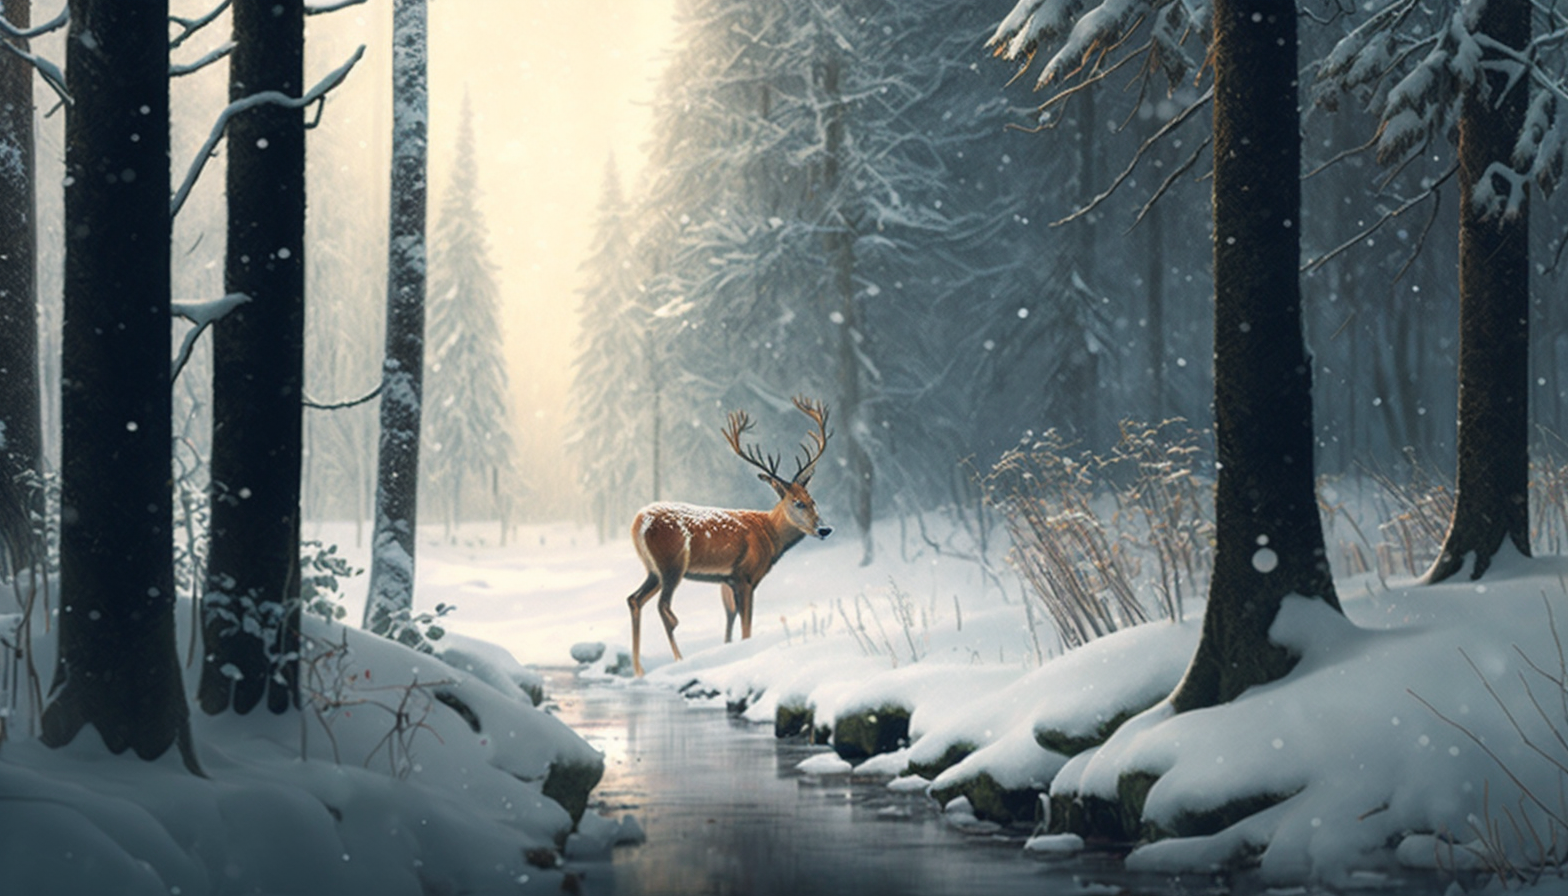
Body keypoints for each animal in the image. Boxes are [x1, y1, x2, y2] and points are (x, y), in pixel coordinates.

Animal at [630, 395, 840, 677]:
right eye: (797, 503)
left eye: (813, 500)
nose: (824, 529)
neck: (770, 536)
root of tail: (639, 523)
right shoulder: (745, 575)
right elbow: (746, 626)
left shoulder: (726, 579)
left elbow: (729, 622)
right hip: (672, 564)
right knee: (664, 608)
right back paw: (679, 660)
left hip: (653, 570)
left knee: (635, 599)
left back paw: (639, 669)